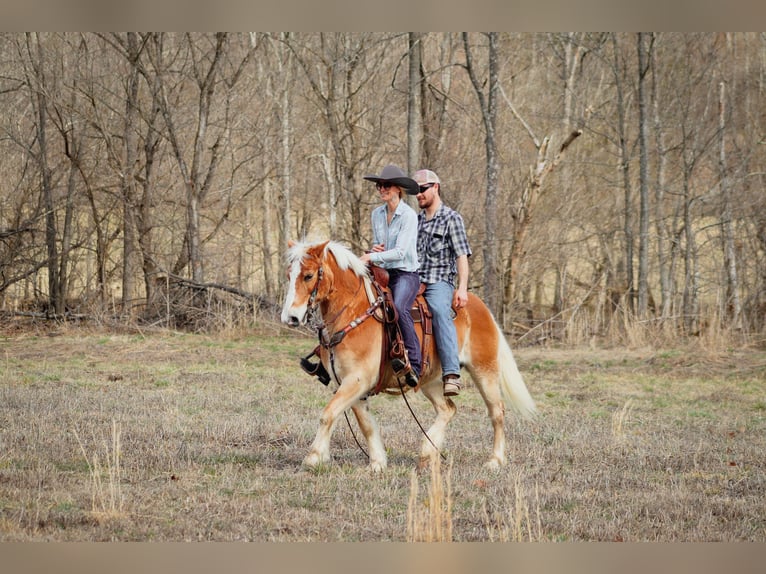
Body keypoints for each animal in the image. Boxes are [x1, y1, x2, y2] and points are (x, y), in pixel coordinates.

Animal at [280, 240, 536, 472]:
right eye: (289, 275)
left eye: (308, 276)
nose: (290, 317)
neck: (353, 313)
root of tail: (481, 306)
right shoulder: (349, 383)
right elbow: (364, 423)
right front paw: (377, 462)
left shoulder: (357, 379)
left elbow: (328, 414)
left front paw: (314, 457)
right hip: (431, 381)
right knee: (448, 409)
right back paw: (427, 453)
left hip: (485, 371)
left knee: (497, 412)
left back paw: (495, 460)